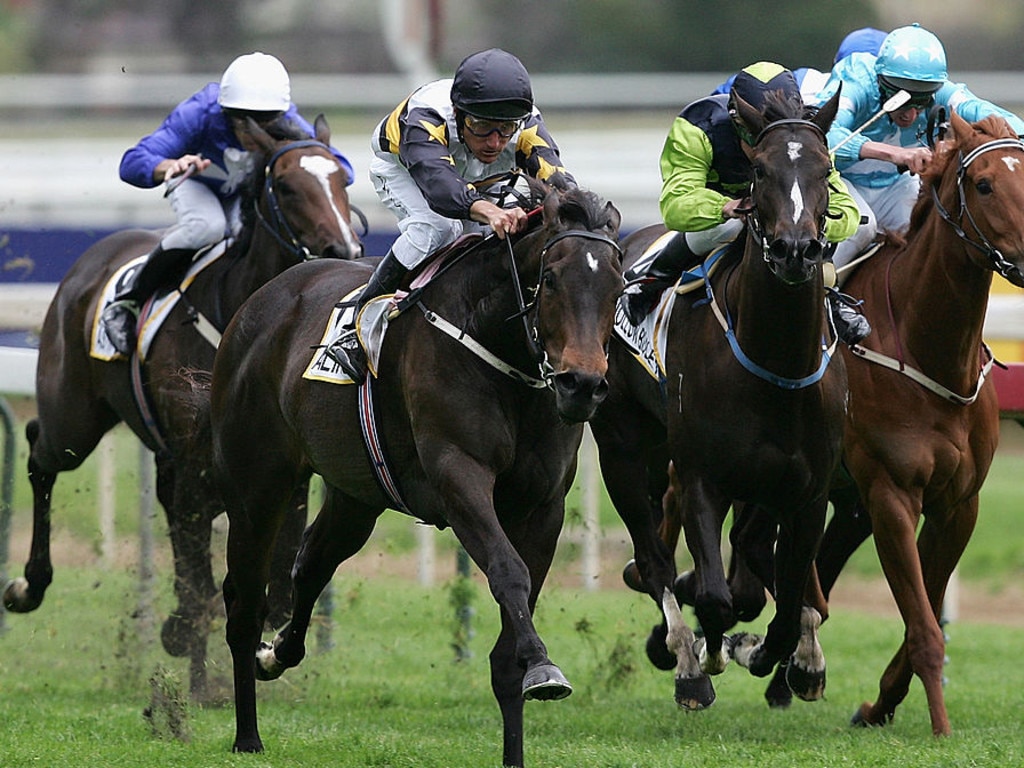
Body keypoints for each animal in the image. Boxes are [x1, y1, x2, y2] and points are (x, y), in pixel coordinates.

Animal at [3, 115, 364, 704]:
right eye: (286, 186)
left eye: (341, 179)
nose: (346, 247)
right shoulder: (198, 467)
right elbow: (201, 583)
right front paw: (195, 666)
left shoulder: (279, 473)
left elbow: (274, 584)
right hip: (73, 422)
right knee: (40, 452)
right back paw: (28, 584)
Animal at [210, 183, 618, 765]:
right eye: (554, 277)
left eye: (618, 282)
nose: (582, 384)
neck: (501, 352)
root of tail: (262, 301)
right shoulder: (458, 475)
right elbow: (507, 571)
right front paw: (544, 665)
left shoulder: (544, 506)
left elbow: (510, 647)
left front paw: (521, 721)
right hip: (255, 487)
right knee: (245, 602)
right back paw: (248, 734)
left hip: (356, 497)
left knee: (310, 564)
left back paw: (279, 652)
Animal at [593, 91, 847, 716]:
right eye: (760, 172)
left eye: (826, 170)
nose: (796, 250)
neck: (778, 364)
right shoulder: (701, 476)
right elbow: (713, 594)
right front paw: (710, 653)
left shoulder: (806, 491)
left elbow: (786, 601)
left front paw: (781, 657)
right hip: (624, 448)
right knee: (655, 562)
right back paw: (687, 659)